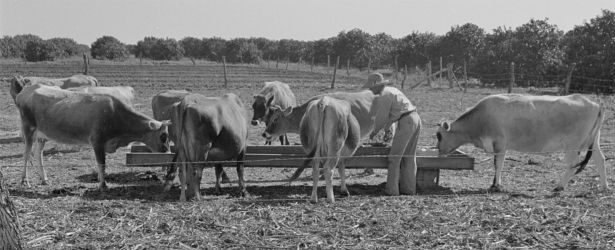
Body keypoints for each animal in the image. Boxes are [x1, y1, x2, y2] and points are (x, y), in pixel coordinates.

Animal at [9, 82, 172, 189]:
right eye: (163, 136)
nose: (167, 151)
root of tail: (26, 91)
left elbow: (102, 164)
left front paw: (101, 180)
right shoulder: (97, 141)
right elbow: (102, 163)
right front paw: (103, 184)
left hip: (42, 134)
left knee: (38, 154)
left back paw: (44, 179)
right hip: (28, 129)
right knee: (26, 154)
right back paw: (24, 181)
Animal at [438, 94, 608, 191]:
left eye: (439, 135)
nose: (438, 151)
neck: (480, 119)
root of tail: (594, 103)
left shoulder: (500, 143)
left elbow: (497, 164)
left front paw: (496, 185)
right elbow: (498, 164)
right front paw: (495, 183)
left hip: (572, 144)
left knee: (572, 164)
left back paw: (559, 186)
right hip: (594, 140)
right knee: (600, 159)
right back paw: (603, 186)